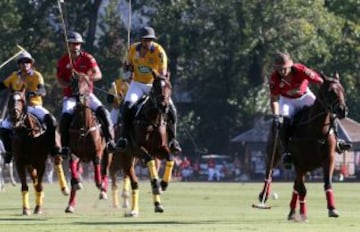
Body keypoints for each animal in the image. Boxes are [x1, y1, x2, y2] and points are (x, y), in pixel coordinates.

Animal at [65, 78, 108, 214]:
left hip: (108, 153)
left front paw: (100, 185)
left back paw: (104, 190)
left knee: (105, 170)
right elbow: (73, 171)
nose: (79, 98)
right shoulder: (74, 153)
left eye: (85, 83)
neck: (83, 127)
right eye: (73, 83)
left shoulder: (98, 151)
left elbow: (97, 167)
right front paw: (78, 182)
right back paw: (70, 205)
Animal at [119, 71, 176, 217]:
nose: (164, 106)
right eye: (156, 87)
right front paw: (158, 184)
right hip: (127, 158)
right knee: (135, 182)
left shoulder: (160, 149)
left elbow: (171, 158)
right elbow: (149, 162)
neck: (152, 120)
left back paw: (158, 204)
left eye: (169, 86)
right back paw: (134, 210)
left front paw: (164, 184)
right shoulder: (139, 148)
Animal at [258, 72, 348, 221]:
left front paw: (332, 209)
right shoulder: (299, 163)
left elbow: (327, 183)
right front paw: (303, 214)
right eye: (330, 91)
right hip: (273, 155)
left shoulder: (328, 159)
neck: (315, 130)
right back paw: (264, 197)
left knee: (295, 186)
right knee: (269, 174)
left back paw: (292, 212)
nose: (342, 110)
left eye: (342, 90)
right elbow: (302, 190)